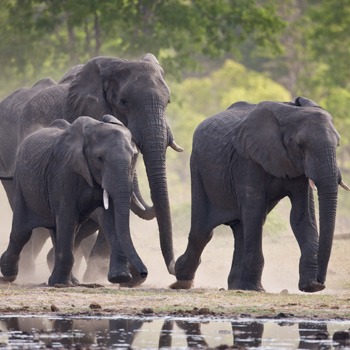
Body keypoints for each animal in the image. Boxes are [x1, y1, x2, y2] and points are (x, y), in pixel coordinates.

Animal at [0, 116, 148, 286]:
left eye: (133, 158)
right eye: (99, 158)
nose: (143, 273)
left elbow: (111, 219)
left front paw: (120, 277)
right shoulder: (63, 173)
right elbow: (67, 217)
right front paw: (61, 284)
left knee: (58, 231)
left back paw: (71, 281)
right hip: (21, 184)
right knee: (21, 232)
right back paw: (9, 275)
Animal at [170, 95, 348, 292]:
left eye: (338, 144)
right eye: (300, 145)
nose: (320, 280)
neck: (290, 113)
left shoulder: (300, 169)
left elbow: (301, 215)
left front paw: (311, 287)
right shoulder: (247, 159)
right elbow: (254, 211)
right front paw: (255, 288)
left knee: (240, 229)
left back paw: (235, 286)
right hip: (197, 168)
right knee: (203, 230)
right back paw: (182, 280)